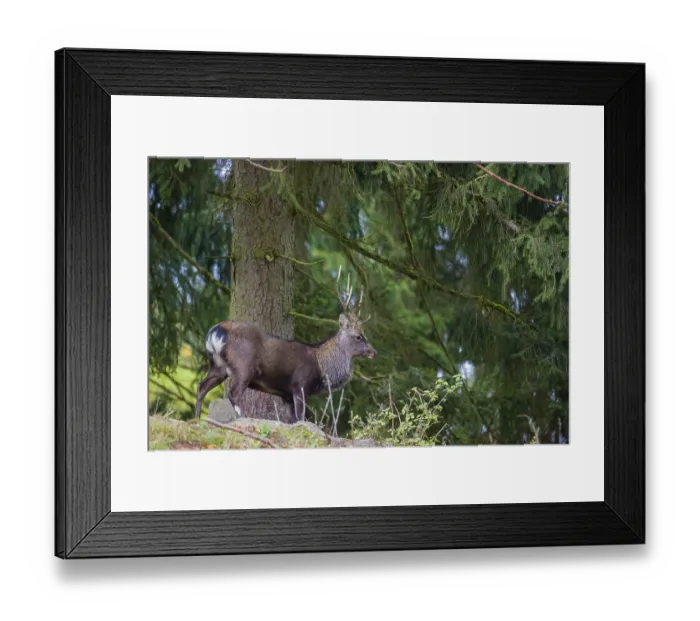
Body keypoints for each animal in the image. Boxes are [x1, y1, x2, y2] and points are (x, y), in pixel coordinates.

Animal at [194, 267, 377, 423]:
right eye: (358, 336)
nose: (374, 352)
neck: (321, 367)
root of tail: (215, 332)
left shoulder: (286, 394)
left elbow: (293, 420)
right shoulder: (301, 385)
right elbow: (301, 418)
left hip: (218, 366)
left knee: (201, 387)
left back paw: (195, 418)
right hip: (244, 365)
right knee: (233, 393)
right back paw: (242, 417)